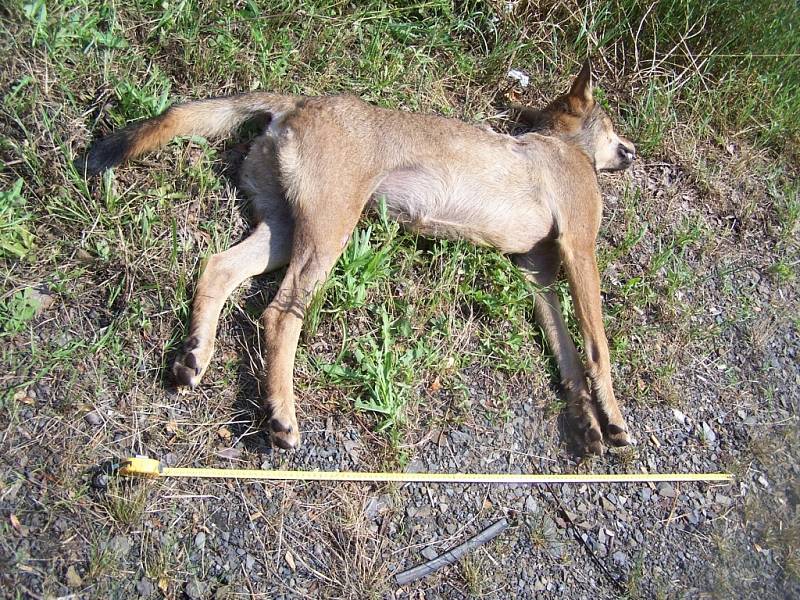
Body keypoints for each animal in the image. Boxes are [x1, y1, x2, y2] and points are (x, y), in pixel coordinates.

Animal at [78, 61, 636, 454]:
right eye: (612, 124)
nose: (633, 151)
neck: (563, 146)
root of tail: (299, 101)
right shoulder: (579, 248)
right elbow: (598, 348)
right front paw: (613, 417)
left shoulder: (537, 274)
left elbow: (568, 355)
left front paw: (586, 422)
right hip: (329, 232)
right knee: (279, 313)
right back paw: (281, 414)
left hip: (283, 232)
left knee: (217, 267)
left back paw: (195, 355)